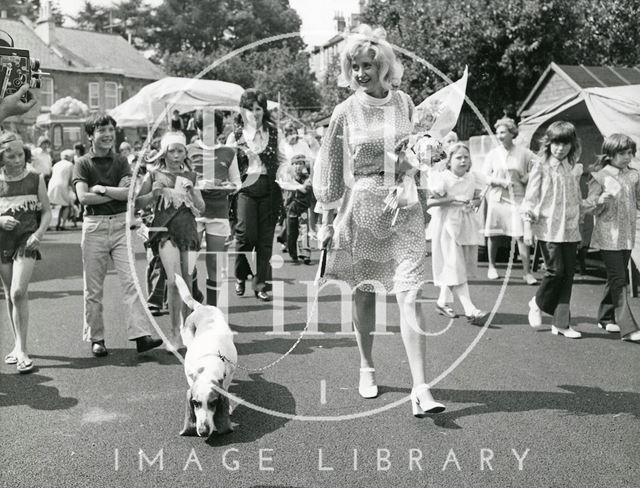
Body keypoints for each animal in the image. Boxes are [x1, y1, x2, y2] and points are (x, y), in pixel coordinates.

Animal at [174, 274, 236, 438]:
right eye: (195, 403)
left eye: (213, 403)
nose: (202, 431)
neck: (208, 364)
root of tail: (201, 307)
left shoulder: (229, 374)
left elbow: (226, 387)